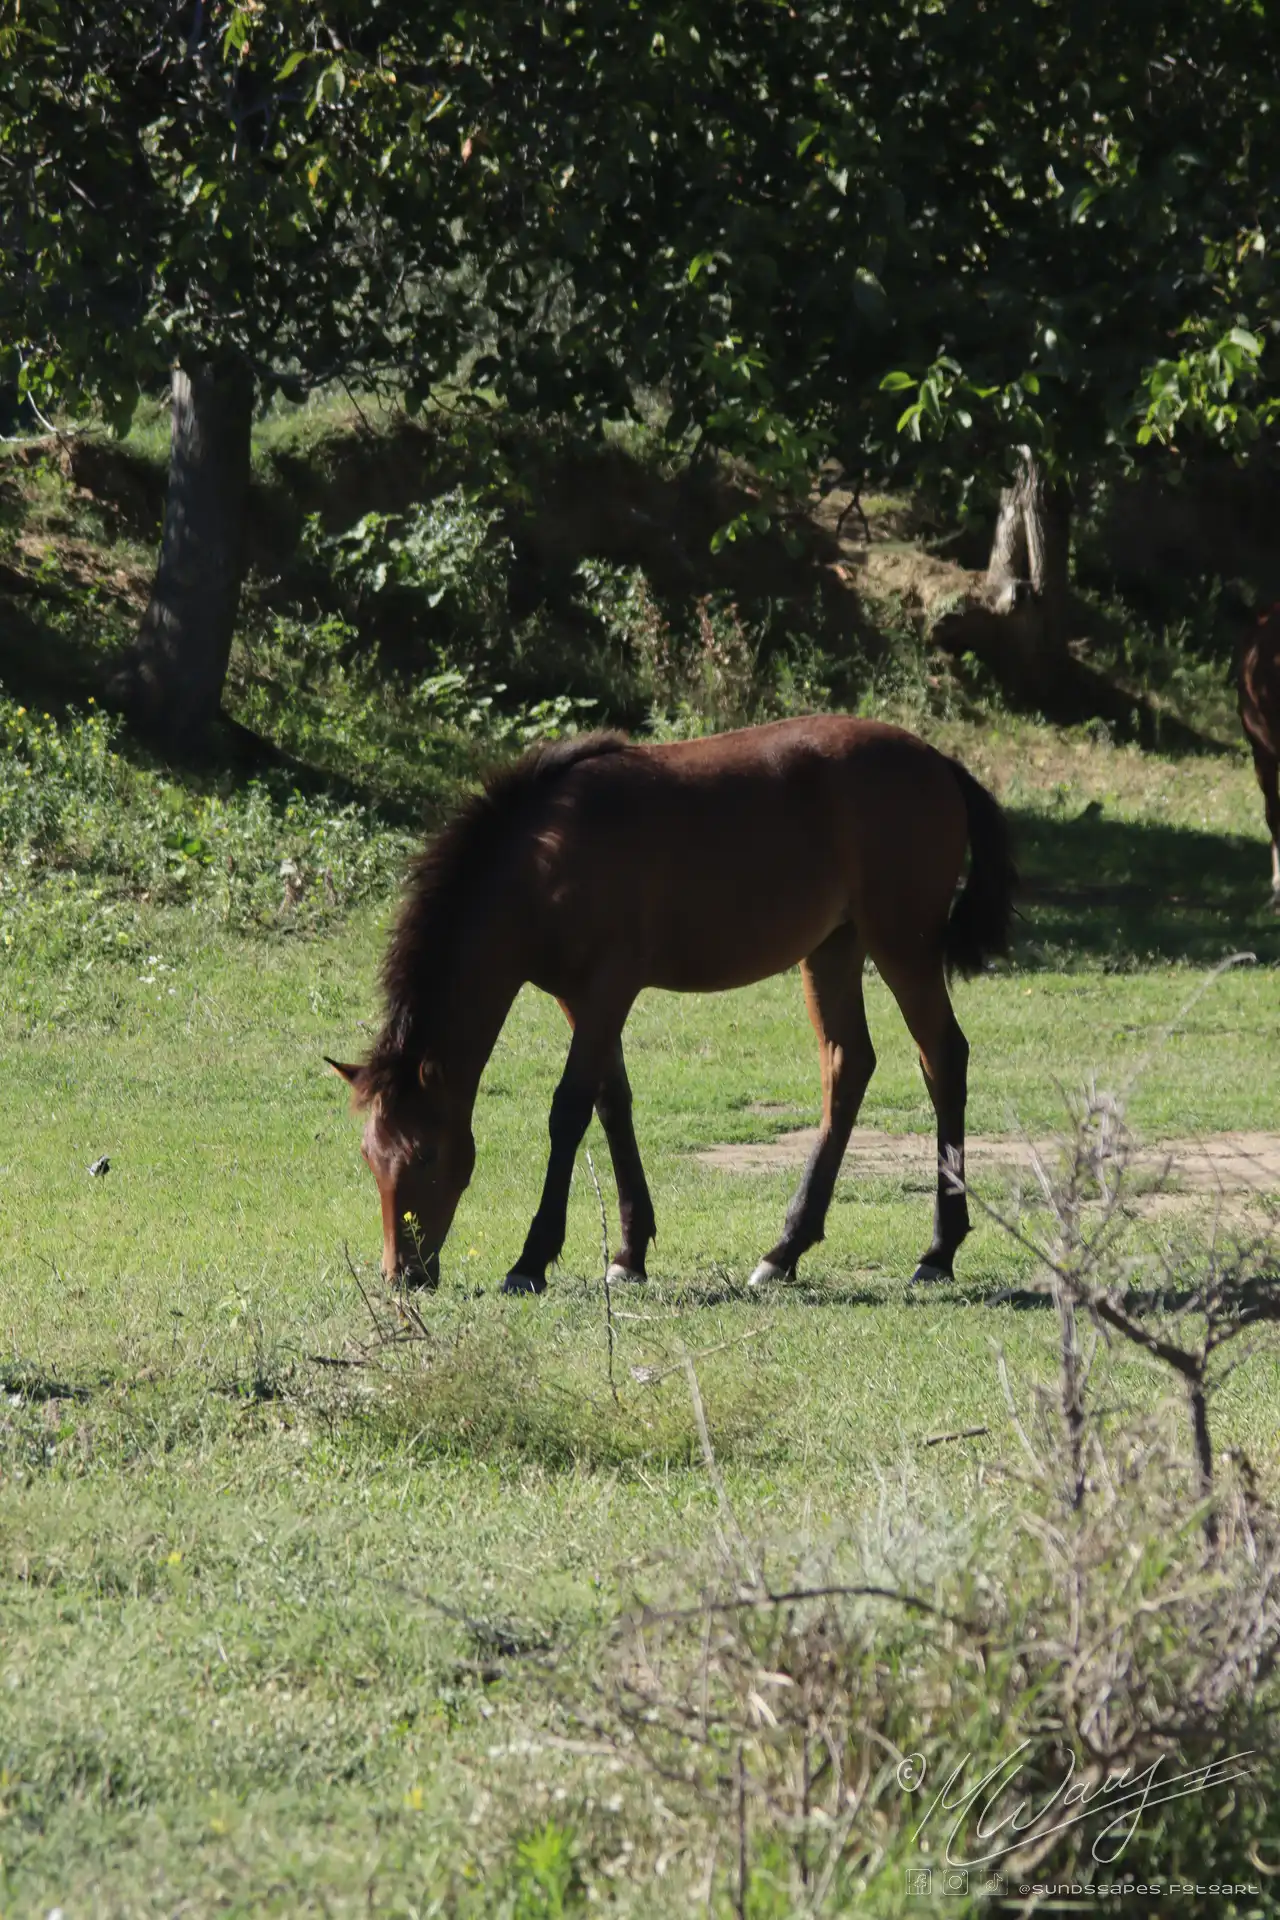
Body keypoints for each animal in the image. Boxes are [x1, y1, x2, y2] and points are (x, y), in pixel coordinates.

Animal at [330, 714, 1020, 1297]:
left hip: (903, 945)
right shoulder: (578, 1000)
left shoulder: (609, 989)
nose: (402, 1275)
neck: (547, 861)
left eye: (426, 1155)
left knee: (942, 1059)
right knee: (848, 1066)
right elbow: (612, 1104)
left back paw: (937, 1252)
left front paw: (532, 1259)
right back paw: (785, 1250)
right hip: (832, 949)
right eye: (369, 1156)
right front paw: (629, 1255)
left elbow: (569, 1111)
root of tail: (936, 761)